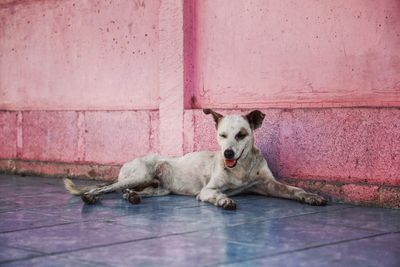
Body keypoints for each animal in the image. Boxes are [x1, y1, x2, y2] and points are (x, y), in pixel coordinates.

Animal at [65, 110, 328, 210]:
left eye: (241, 134)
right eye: (222, 135)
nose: (227, 153)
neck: (242, 168)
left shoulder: (269, 185)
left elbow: (293, 189)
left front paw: (311, 196)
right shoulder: (208, 189)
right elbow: (215, 193)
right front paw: (223, 201)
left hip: (159, 188)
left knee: (128, 192)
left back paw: (131, 197)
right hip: (140, 173)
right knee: (103, 188)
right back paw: (91, 197)